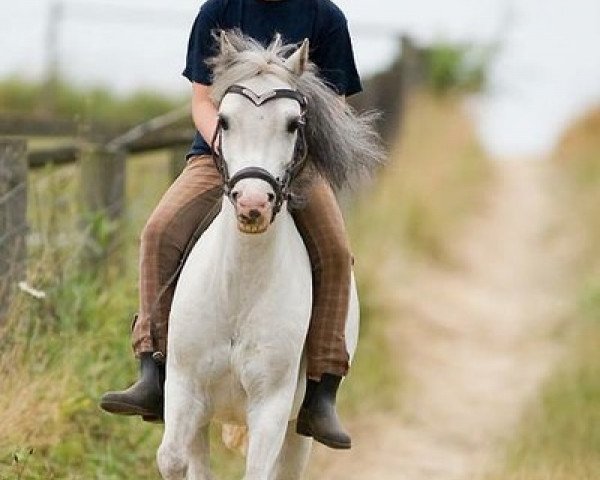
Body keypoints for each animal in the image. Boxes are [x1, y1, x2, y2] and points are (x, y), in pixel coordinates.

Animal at [158, 31, 384, 478]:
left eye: (294, 124)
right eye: (224, 120)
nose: (252, 203)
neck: (239, 288)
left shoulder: (271, 409)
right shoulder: (185, 390)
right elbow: (173, 460)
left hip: (299, 428)